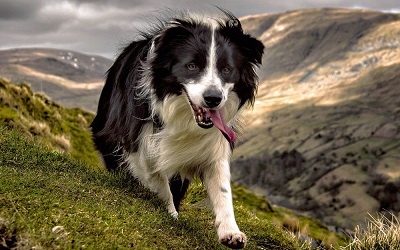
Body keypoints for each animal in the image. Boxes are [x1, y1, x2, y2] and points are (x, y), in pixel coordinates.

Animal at [92, 9, 264, 248]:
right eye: (192, 66)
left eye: (227, 69)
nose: (213, 99)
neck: (183, 117)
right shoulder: (140, 142)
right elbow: (157, 179)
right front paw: (171, 214)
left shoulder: (213, 145)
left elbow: (222, 188)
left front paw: (231, 232)